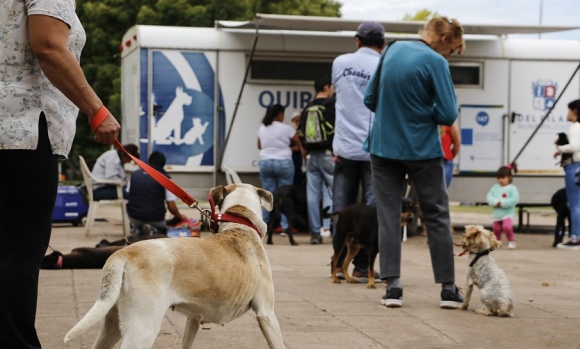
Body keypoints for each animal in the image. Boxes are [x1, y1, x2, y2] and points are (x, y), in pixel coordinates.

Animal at [64, 182, 286, 348]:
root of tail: (123, 253)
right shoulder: (267, 315)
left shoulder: (193, 320)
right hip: (142, 328)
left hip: (110, 325)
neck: (239, 223)